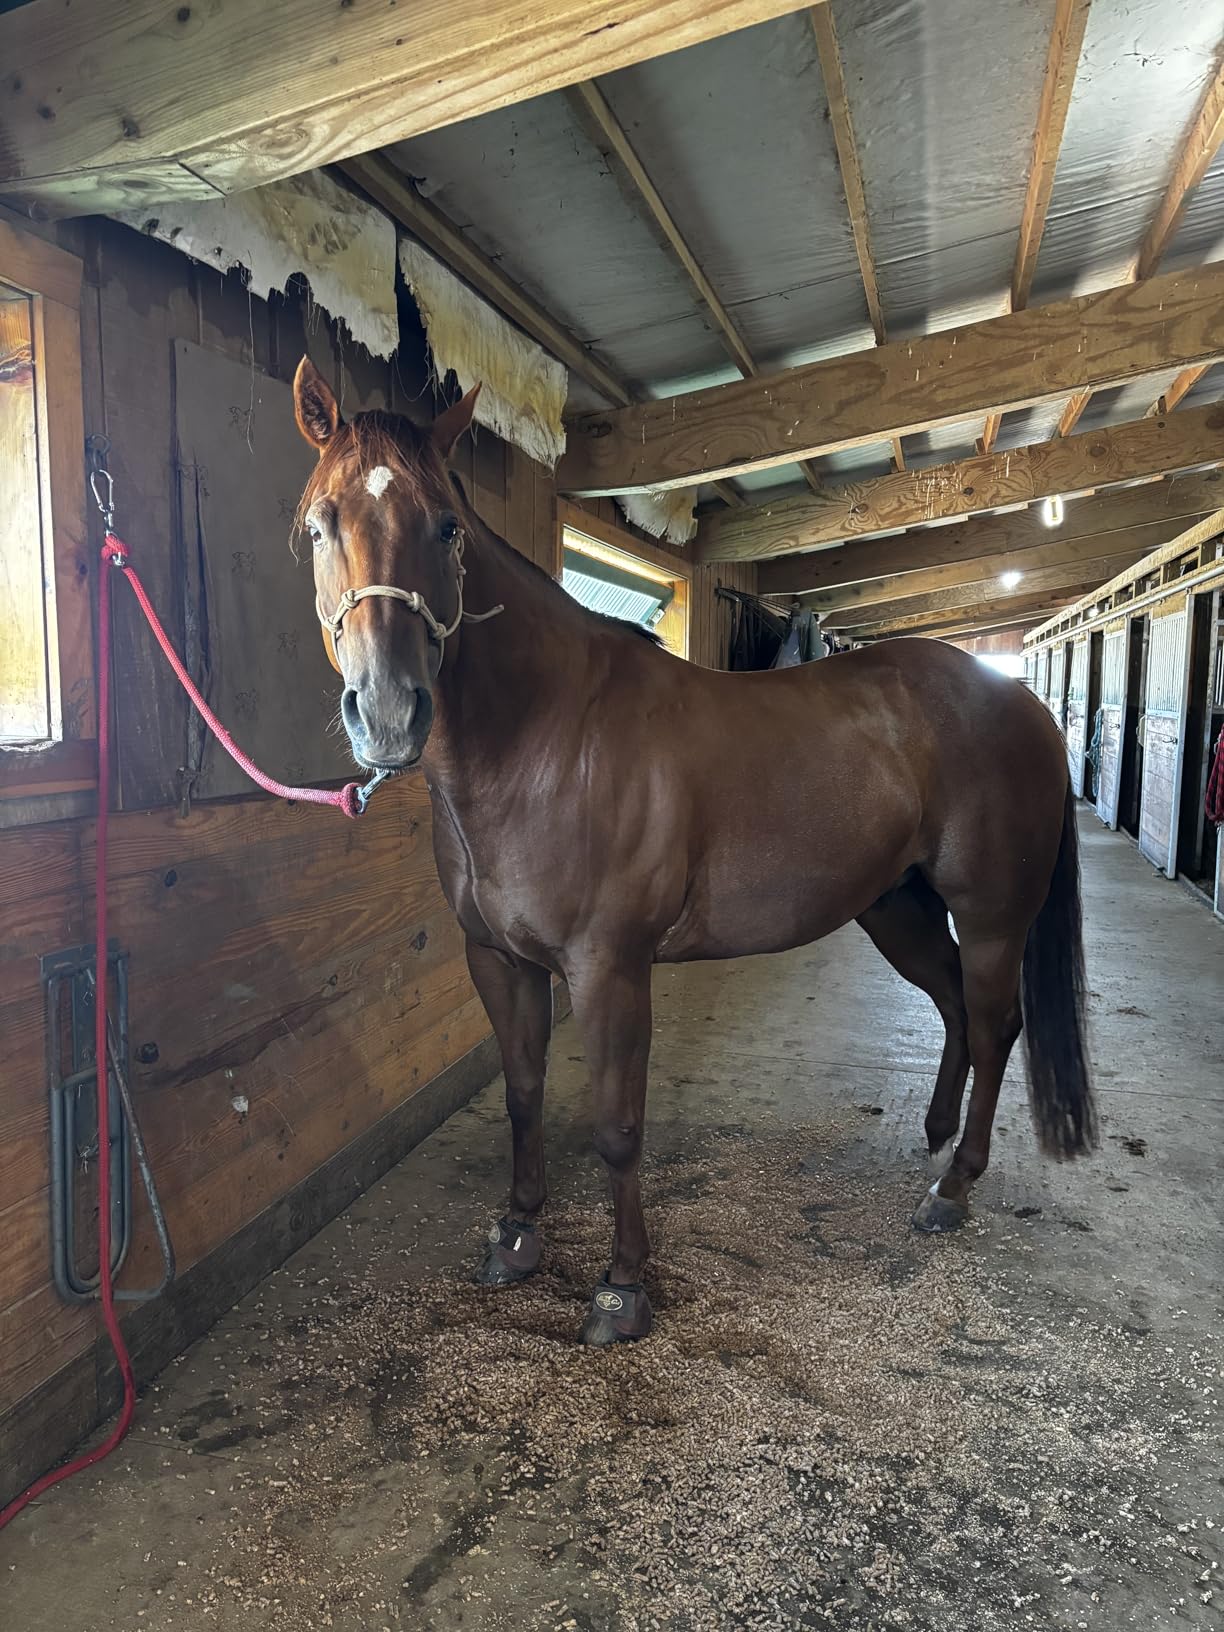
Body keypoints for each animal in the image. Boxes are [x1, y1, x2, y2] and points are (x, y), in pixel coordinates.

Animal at [290, 358, 1096, 1347]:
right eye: (318, 524)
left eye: (446, 526)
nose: (390, 712)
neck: (547, 739)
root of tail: (1021, 702)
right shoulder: (500, 961)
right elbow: (523, 1093)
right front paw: (517, 1236)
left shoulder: (608, 969)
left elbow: (616, 1126)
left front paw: (622, 1288)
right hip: (896, 906)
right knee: (951, 1007)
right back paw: (936, 1136)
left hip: (989, 919)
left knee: (993, 1024)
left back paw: (951, 1189)